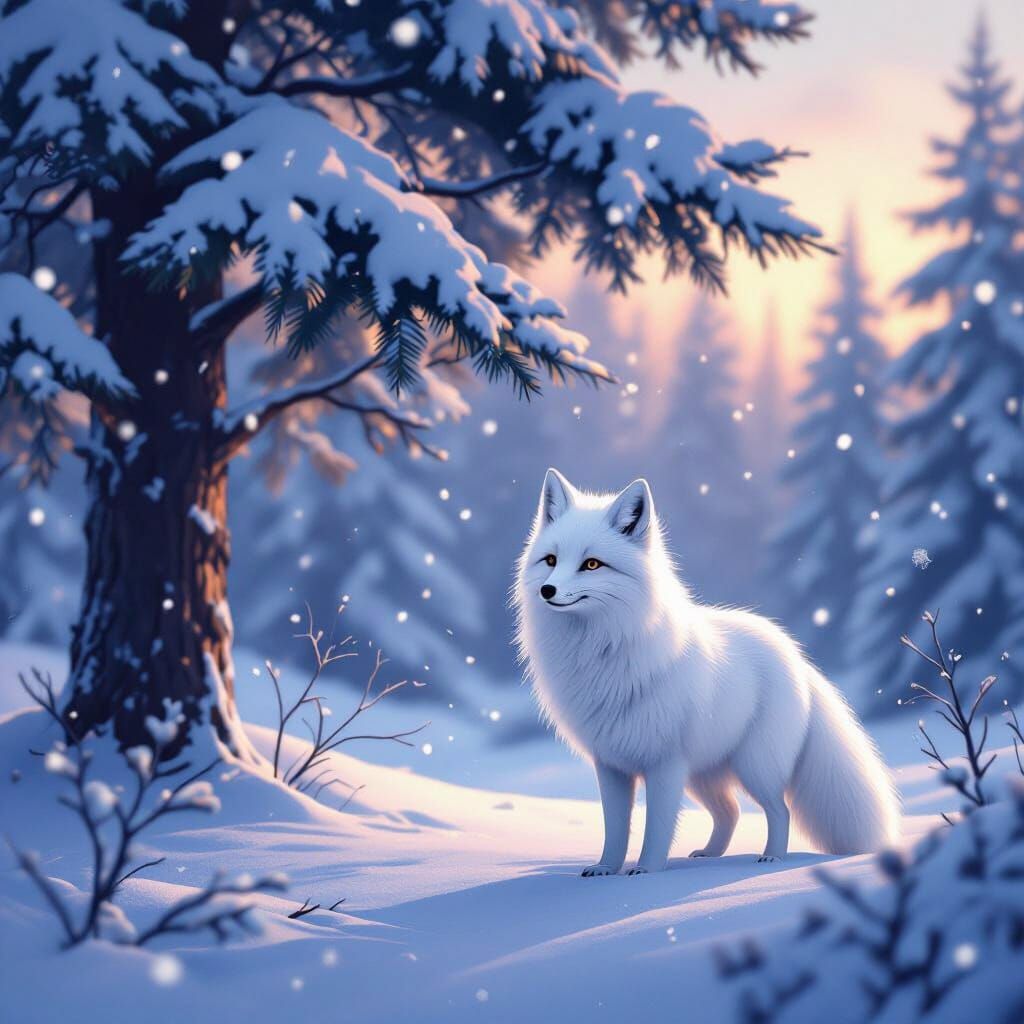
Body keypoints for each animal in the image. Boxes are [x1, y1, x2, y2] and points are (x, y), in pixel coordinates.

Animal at [513, 468, 901, 875]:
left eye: (591, 564)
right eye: (551, 560)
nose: (547, 590)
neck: (602, 649)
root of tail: (796, 655)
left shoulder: (665, 763)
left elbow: (657, 828)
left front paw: (645, 871)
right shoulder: (611, 764)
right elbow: (615, 828)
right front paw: (605, 868)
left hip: (753, 767)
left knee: (780, 810)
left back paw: (771, 857)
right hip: (704, 775)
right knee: (730, 811)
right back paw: (711, 855)